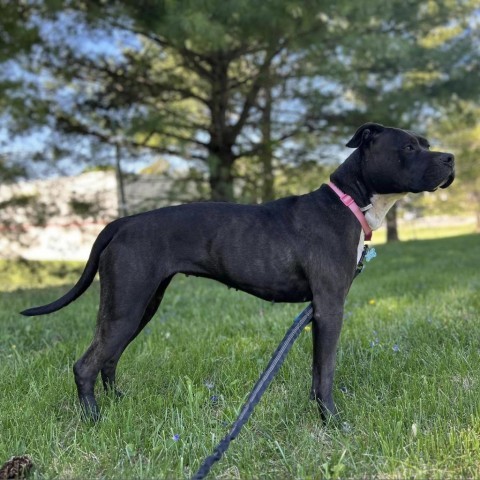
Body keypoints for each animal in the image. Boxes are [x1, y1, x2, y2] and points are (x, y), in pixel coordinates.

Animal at [21, 124, 454, 420]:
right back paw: (94, 419)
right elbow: (326, 370)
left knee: (108, 359)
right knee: (86, 364)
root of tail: (123, 222)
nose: (451, 158)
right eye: (409, 146)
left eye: (427, 143)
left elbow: (317, 372)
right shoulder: (330, 308)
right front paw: (331, 420)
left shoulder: (319, 310)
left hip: (139, 305)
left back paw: (119, 404)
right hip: (126, 306)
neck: (350, 200)